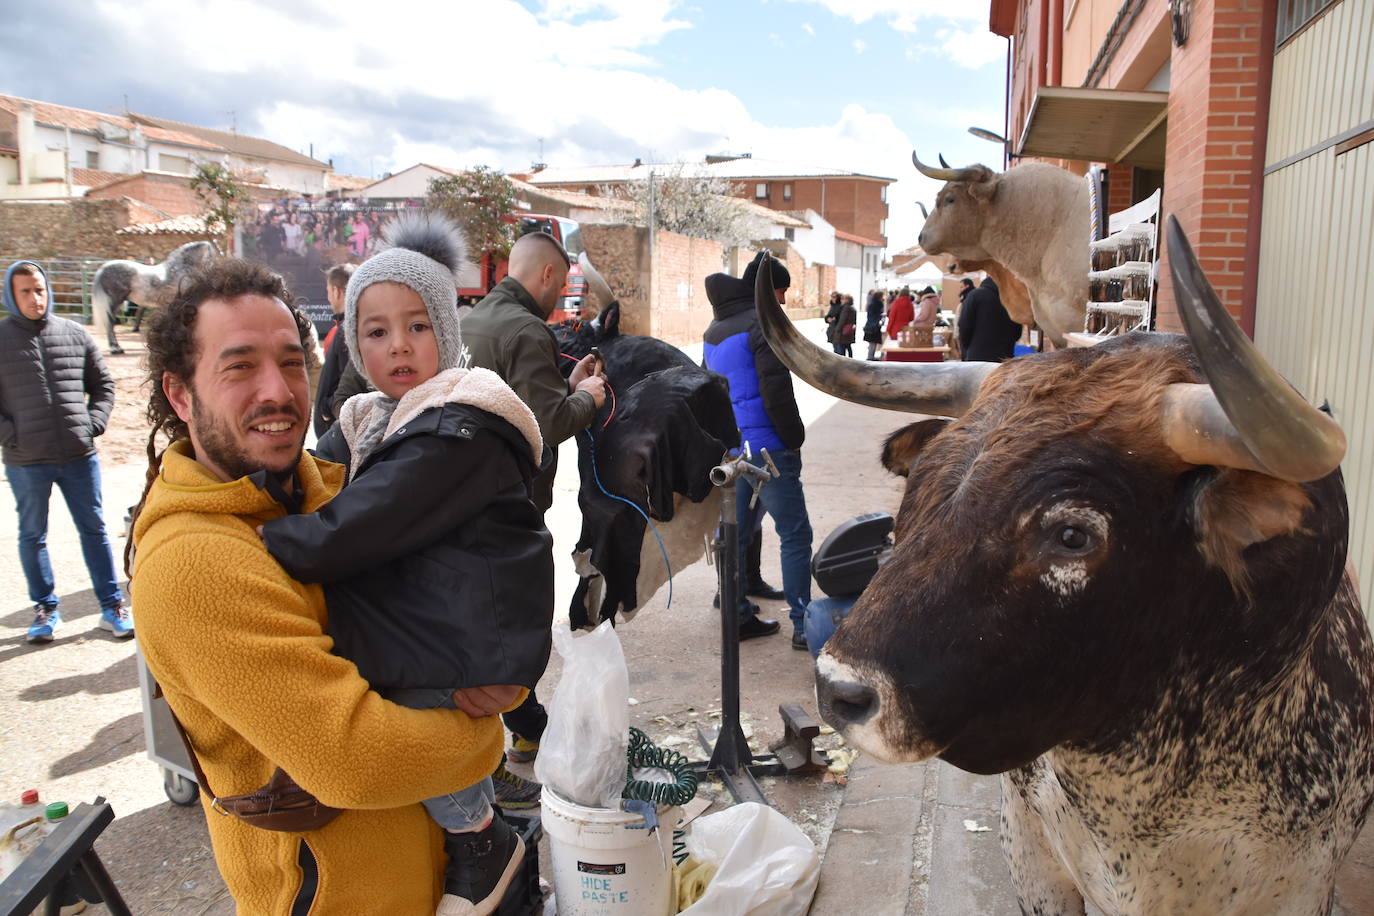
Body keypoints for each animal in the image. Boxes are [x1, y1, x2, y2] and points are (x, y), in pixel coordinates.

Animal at [549, 300, 736, 631]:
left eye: (571, 325)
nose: (546, 328)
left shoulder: (596, 495)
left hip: (615, 505)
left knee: (609, 560)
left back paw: (585, 616)